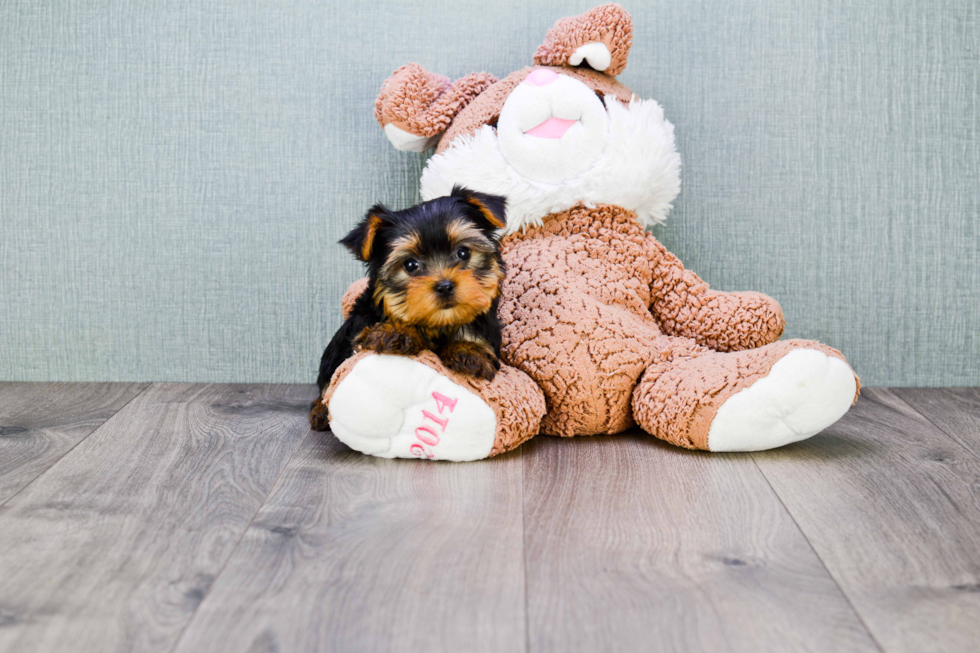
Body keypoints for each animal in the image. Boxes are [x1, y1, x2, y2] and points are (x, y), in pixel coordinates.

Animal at [308, 185, 506, 428]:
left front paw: (468, 349)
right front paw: (397, 331)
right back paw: (320, 411)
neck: (438, 324)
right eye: (410, 265)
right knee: (326, 382)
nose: (445, 286)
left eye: (463, 252)